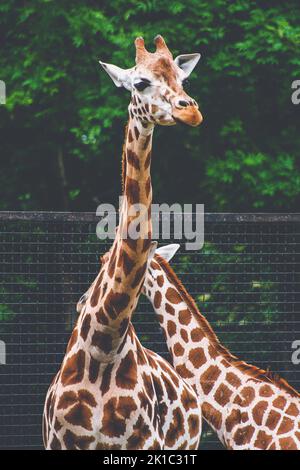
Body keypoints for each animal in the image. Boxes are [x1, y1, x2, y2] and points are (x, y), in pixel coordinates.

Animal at [42, 35, 204, 450]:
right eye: (140, 83)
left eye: (182, 78)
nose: (191, 111)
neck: (106, 341)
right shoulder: (57, 441)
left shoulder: (145, 443)